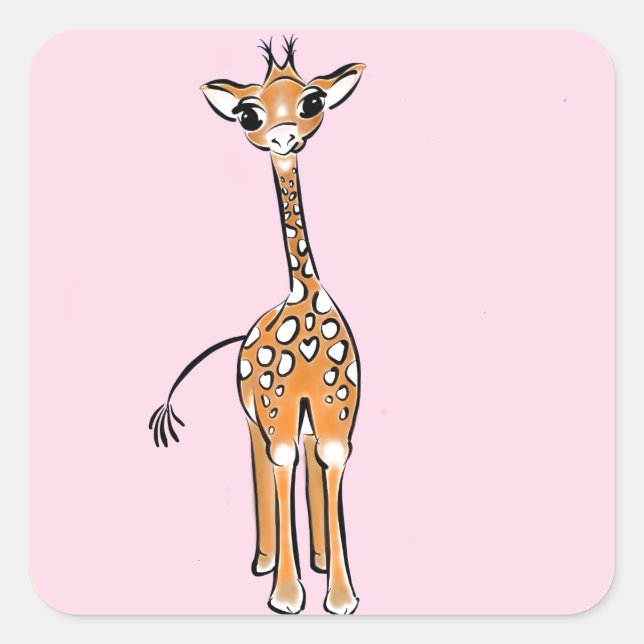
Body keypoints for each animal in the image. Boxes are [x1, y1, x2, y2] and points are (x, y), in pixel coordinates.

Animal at [149, 36, 365, 615]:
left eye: (313, 101)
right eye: (249, 113)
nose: (284, 136)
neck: (304, 298)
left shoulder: (337, 413)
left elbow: (330, 465)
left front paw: (340, 596)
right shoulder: (275, 411)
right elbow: (280, 466)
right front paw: (287, 595)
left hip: (303, 416)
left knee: (307, 463)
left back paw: (317, 561)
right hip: (254, 414)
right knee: (264, 465)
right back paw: (265, 562)